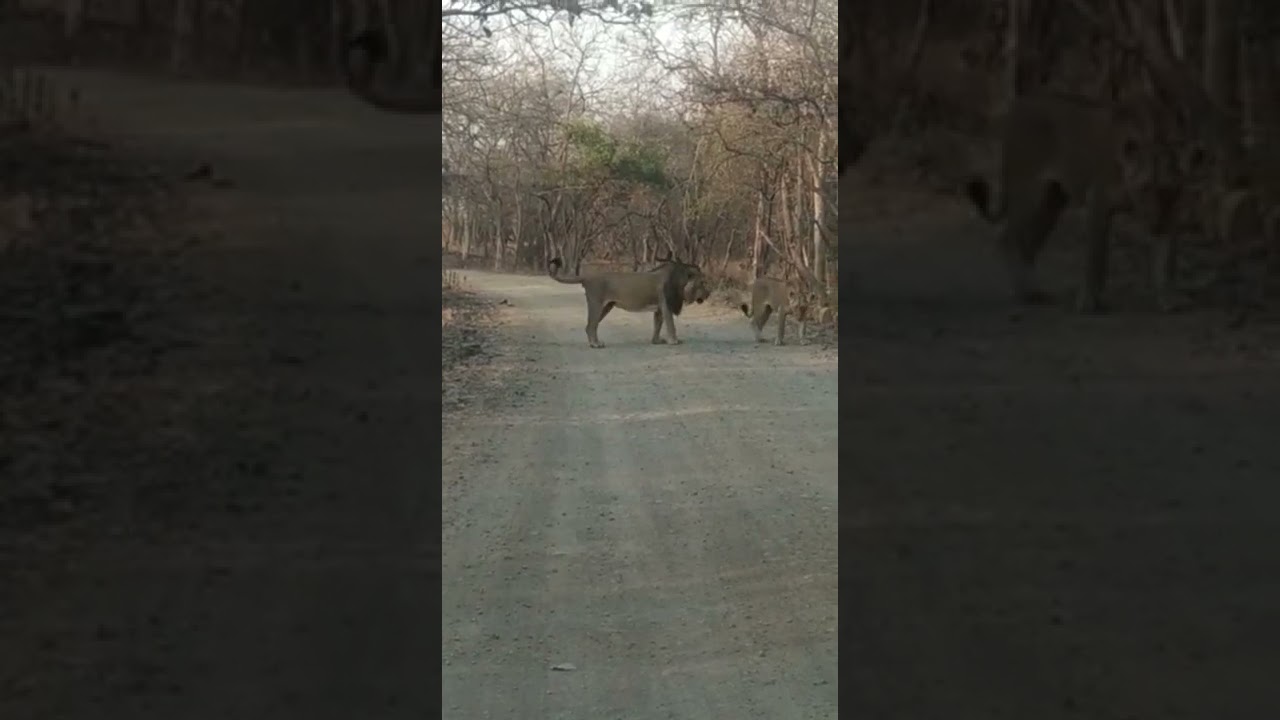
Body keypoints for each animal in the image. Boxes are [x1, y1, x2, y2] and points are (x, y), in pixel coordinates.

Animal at [548, 255, 711, 348]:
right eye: (702, 283)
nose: (709, 294)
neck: (680, 281)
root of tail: (587, 277)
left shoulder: (659, 308)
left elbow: (657, 325)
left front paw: (656, 341)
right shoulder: (666, 306)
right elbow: (671, 325)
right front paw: (674, 341)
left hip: (606, 307)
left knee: (590, 326)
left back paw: (593, 343)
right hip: (596, 304)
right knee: (591, 325)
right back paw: (595, 344)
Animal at [964, 93, 1178, 314]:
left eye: (1166, 190)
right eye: (1144, 187)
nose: (1156, 225)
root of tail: (1017, 106)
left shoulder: (1172, 211)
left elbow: (1166, 261)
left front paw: (1168, 298)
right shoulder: (1098, 203)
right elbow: (1096, 258)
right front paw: (1088, 301)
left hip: (1051, 203)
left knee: (1027, 246)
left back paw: (1032, 292)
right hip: (1029, 196)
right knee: (1007, 239)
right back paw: (1026, 292)